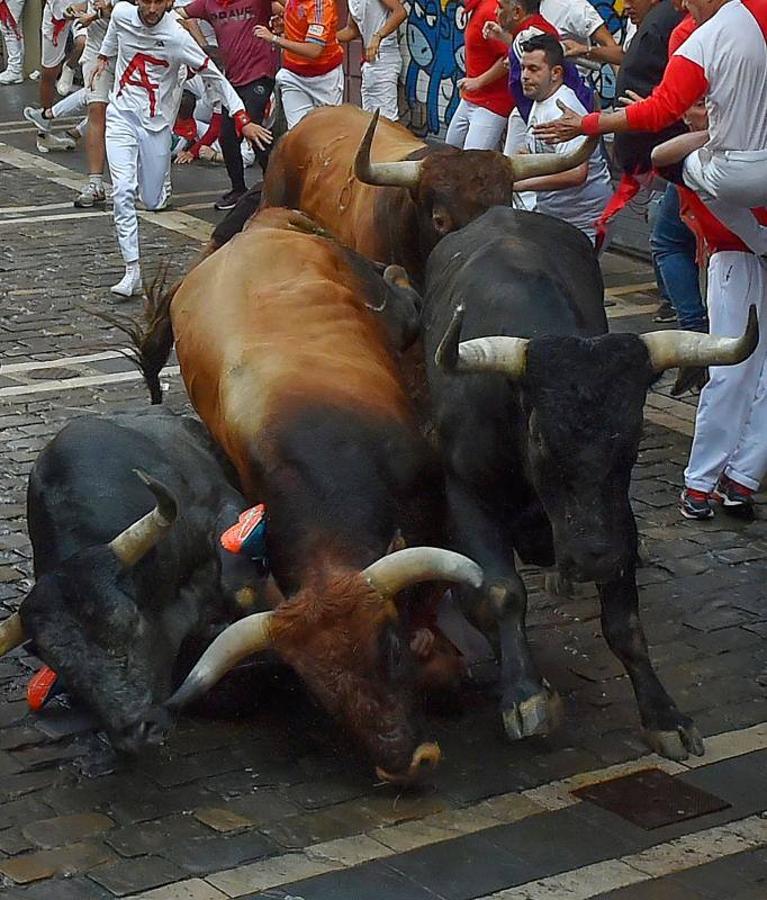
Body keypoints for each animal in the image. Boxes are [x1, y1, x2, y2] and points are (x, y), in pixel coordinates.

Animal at [140, 206, 484, 780]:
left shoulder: (431, 498)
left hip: (379, 295)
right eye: (321, 691)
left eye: (391, 650)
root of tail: (258, 226)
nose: (404, 762)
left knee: (400, 293)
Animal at [424, 206, 760, 760]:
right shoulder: (463, 492)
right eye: (540, 434)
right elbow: (500, 592)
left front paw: (663, 714)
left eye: (635, 431)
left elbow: (625, 624)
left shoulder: (614, 510)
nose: (591, 559)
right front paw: (526, 694)